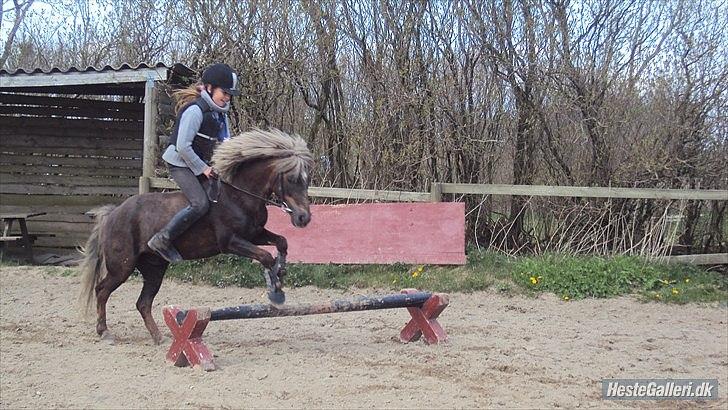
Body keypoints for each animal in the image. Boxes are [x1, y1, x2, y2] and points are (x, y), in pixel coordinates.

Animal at [79, 128, 312, 342]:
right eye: (292, 178)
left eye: (306, 179)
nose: (304, 218)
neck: (239, 196)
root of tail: (113, 213)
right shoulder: (231, 242)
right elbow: (265, 256)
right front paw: (275, 290)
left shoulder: (255, 234)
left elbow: (282, 242)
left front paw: (280, 273)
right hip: (122, 267)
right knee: (102, 291)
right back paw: (105, 332)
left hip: (154, 268)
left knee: (143, 303)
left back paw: (159, 337)